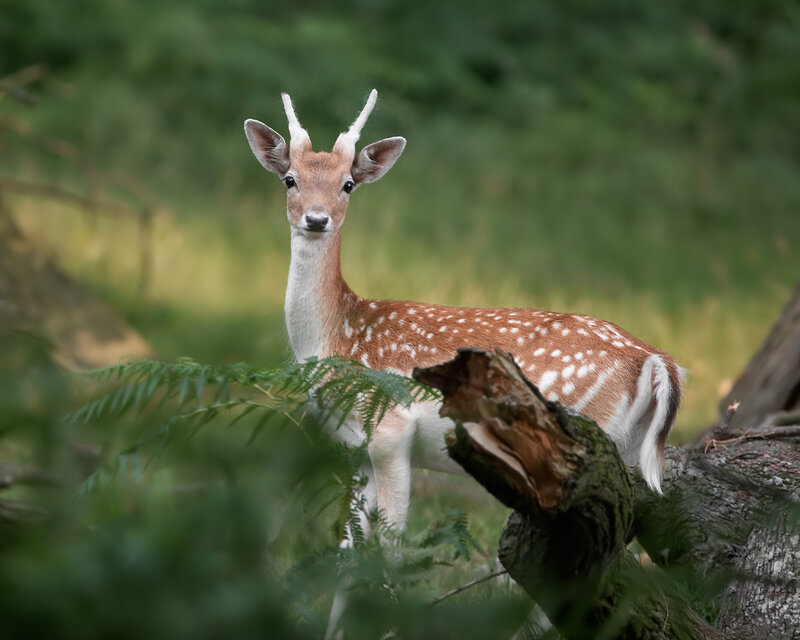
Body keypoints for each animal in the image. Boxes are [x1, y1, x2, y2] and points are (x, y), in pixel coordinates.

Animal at [244, 90, 683, 634]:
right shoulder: (354, 448)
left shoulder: (390, 431)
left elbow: (391, 551)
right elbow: (349, 554)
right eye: (290, 178)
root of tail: (655, 360)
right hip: (623, 454)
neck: (337, 339)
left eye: (348, 184)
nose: (317, 218)